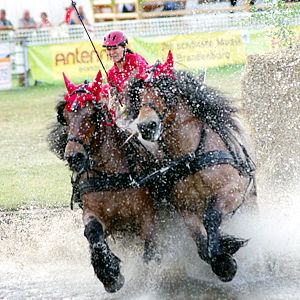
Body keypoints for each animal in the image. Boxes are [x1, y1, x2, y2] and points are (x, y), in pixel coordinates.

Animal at [47, 71, 162, 292]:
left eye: (92, 114)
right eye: (65, 117)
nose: (73, 157)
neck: (109, 175)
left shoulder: (147, 217)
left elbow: (151, 251)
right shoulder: (95, 214)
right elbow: (93, 234)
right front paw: (110, 274)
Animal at [127, 51, 258, 282]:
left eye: (165, 91)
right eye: (139, 96)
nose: (146, 126)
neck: (191, 158)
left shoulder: (232, 191)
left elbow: (211, 217)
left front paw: (225, 260)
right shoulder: (185, 209)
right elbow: (200, 243)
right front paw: (223, 255)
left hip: (250, 202)